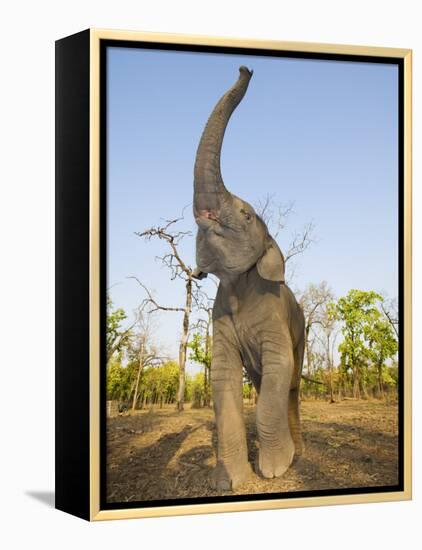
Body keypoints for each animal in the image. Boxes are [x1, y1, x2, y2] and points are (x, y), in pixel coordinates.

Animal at [193, 66, 304, 492]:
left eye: (244, 214)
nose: (246, 69)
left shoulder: (275, 316)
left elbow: (280, 367)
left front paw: (274, 471)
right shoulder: (219, 318)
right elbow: (223, 377)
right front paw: (228, 484)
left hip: (304, 330)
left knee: (291, 384)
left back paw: (299, 451)